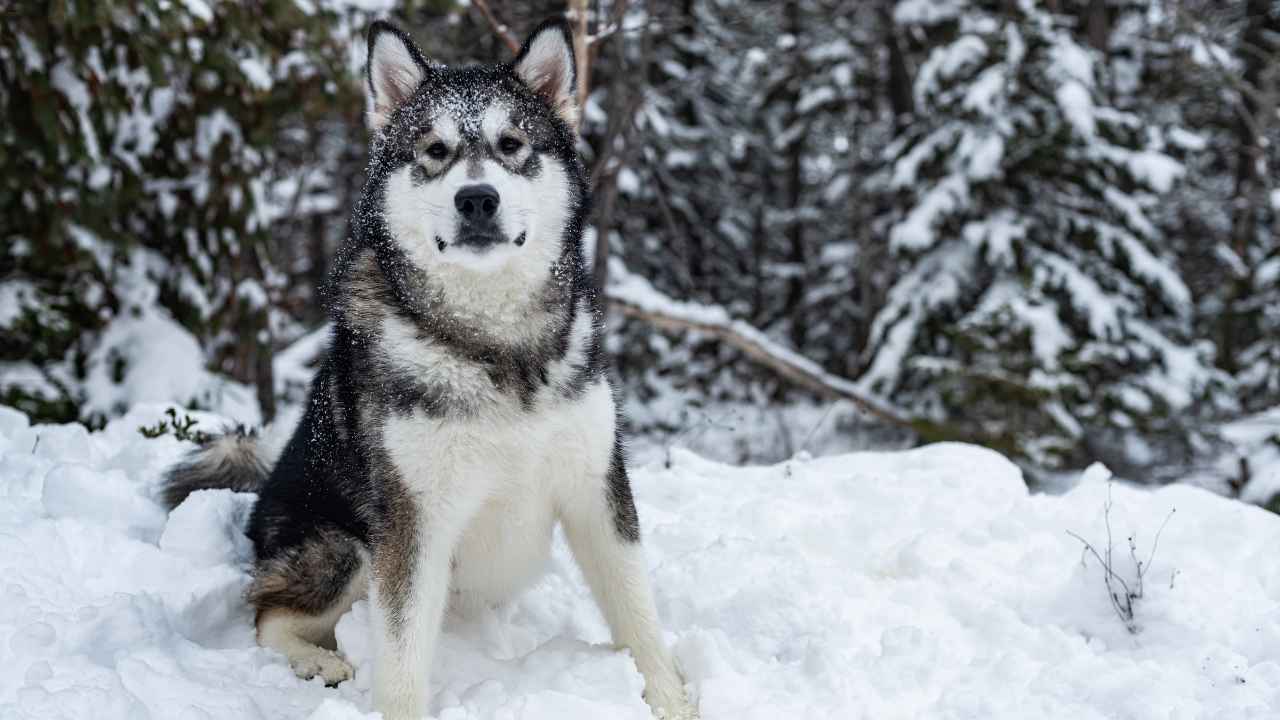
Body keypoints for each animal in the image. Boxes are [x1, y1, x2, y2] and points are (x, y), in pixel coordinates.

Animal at [165, 18, 696, 717]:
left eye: (511, 143)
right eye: (435, 150)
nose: (477, 199)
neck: (495, 346)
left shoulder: (595, 486)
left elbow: (637, 612)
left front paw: (670, 699)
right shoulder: (412, 520)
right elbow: (401, 657)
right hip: (343, 547)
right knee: (268, 616)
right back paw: (318, 662)